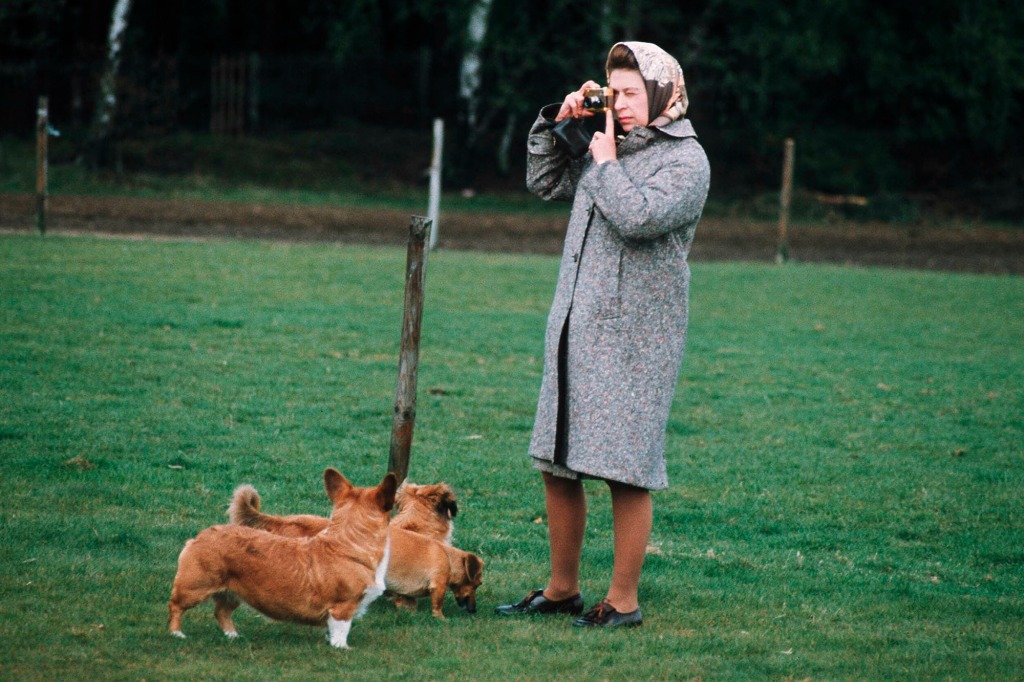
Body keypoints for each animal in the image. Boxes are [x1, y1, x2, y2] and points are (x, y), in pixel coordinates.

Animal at [167, 466, 395, 647]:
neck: (349, 544)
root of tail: (200, 536)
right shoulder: (343, 607)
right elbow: (341, 630)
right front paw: (342, 648)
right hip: (195, 587)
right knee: (175, 606)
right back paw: (177, 634)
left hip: (234, 592)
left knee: (221, 612)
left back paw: (233, 636)